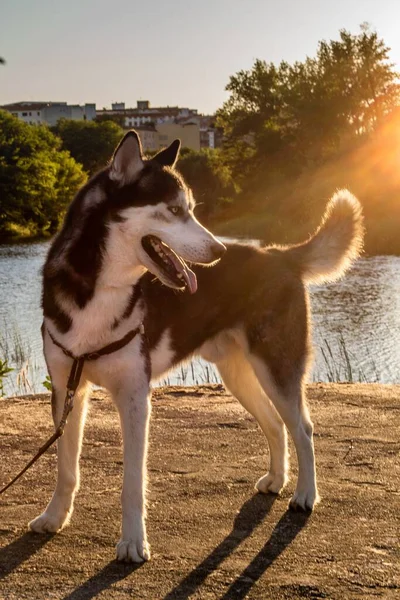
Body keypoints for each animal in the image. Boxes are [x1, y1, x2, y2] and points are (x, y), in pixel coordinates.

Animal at [29, 129, 364, 560]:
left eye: (190, 209)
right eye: (174, 210)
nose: (219, 251)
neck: (100, 289)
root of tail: (278, 255)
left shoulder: (134, 397)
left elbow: (132, 483)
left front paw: (133, 541)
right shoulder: (67, 388)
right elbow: (66, 469)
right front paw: (55, 517)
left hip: (276, 367)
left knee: (302, 427)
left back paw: (306, 494)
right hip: (238, 375)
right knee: (275, 423)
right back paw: (276, 479)